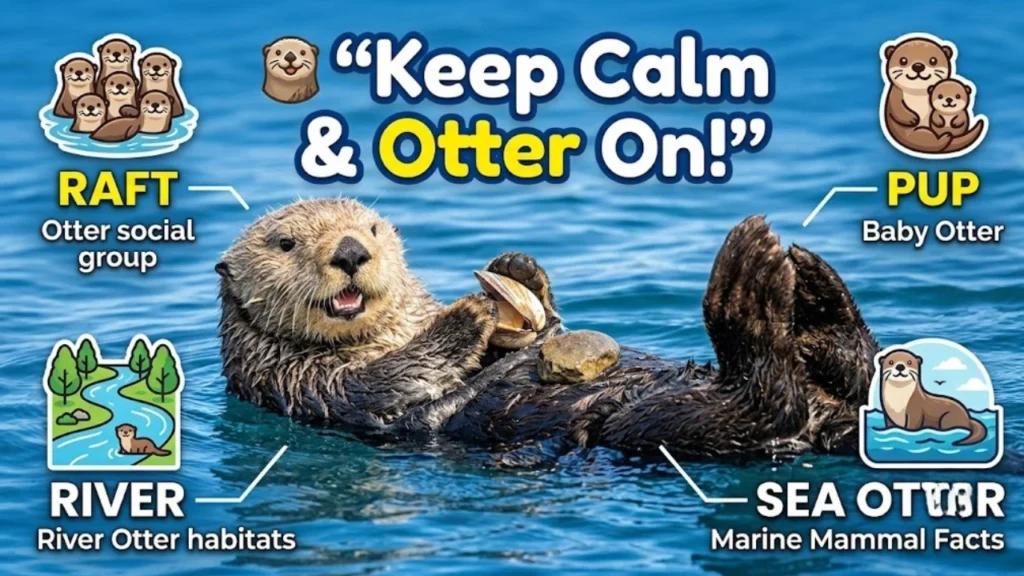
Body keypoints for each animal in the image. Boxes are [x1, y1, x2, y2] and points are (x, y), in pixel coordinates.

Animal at [217, 198, 879, 461]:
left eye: (374, 228)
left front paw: (517, 272)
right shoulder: (298, 380)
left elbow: (539, 332)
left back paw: (817, 291)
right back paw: (751, 281)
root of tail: (831, 425)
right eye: (285, 243)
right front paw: (467, 317)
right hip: (654, 425)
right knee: (767, 401)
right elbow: (382, 383)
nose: (352, 251)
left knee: (857, 369)